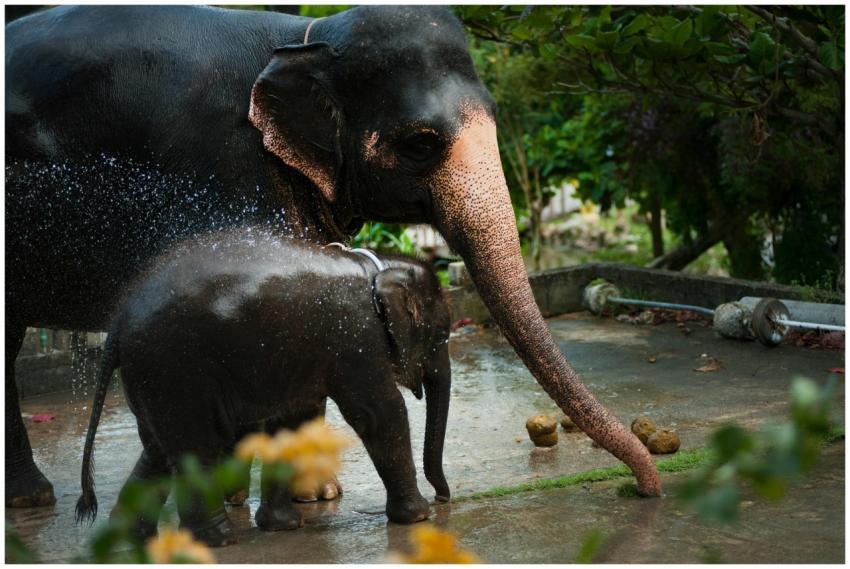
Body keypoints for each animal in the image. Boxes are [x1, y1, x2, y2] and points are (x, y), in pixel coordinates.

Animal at [5, 5, 660, 508]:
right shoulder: (225, 167)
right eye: (420, 144)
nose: (646, 488)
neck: (303, 38)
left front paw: (315, 497)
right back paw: (36, 499)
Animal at [75, 228, 452, 545]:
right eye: (442, 336)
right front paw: (418, 517)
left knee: (158, 449)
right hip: (174, 369)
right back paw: (220, 539)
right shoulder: (357, 340)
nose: (444, 497)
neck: (377, 267)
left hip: (154, 378)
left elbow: (293, 422)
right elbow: (380, 413)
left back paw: (134, 536)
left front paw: (283, 526)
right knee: (198, 446)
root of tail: (118, 324)